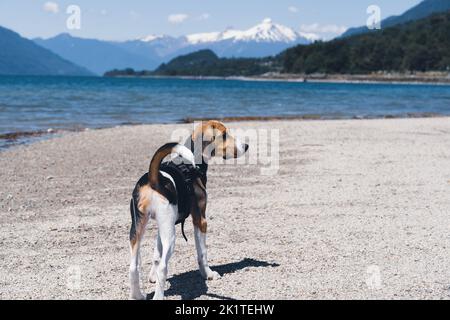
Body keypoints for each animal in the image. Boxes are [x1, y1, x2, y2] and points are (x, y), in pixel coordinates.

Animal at [129, 120, 250, 300]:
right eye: (224, 135)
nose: (246, 146)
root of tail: (153, 179)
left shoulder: (163, 226)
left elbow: (156, 255)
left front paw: (152, 276)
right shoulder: (200, 220)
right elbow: (202, 253)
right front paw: (208, 274)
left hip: (139, 229)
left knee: (133, 267)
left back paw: (137, 295)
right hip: (170, 236)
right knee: (163, 267)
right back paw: (158, 296)